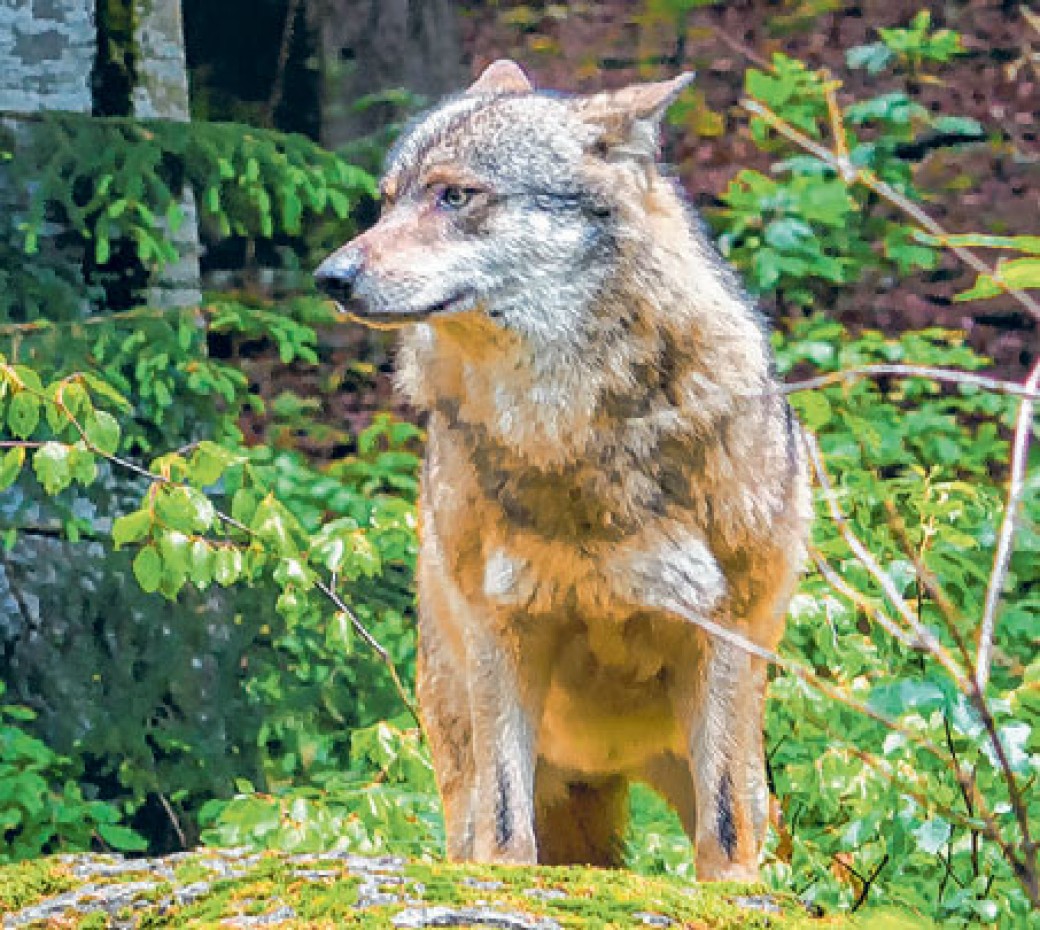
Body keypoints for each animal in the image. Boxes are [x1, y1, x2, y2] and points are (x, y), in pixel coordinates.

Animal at [316, 60, 811, 882]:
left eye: (455, 195)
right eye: (387, 201)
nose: (332, 276)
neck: (569, 433)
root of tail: (606, 765)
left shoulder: (721, 633)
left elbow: (724, 835)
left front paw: (731, 895)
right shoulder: (500, 633)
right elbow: (507, 833)